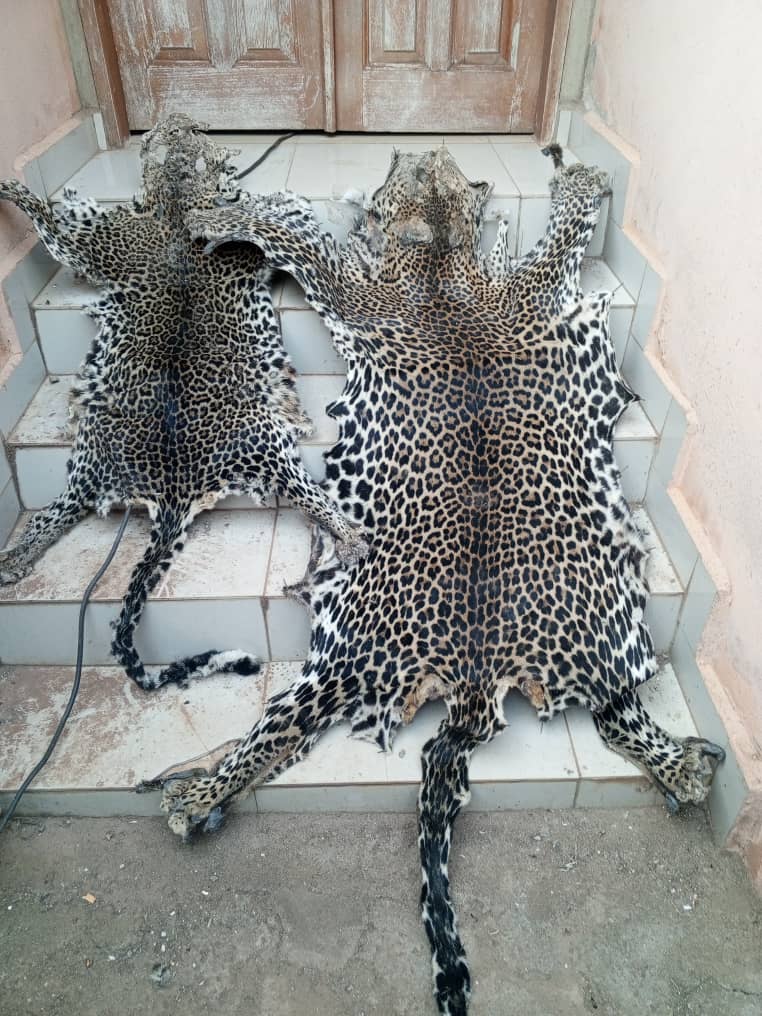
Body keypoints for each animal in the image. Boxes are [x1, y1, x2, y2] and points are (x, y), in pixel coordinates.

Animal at [0, 114, 365, 691]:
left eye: (188, 128)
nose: (174, 119)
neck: (174, 196)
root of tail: (172, 492)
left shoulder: (94, 248)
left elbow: (56, 226)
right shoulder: (102, 243)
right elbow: (53, 220)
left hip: (151, 452)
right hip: (195, 450)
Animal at [144, 143, 725, 1014]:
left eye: (407, 176)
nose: (421, 148)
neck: (443, 265)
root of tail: (478, 686)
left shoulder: (359, 281)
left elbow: (292, 228)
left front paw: (218, 210)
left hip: (341, 658)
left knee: (275, 731)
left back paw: (197, 795)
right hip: (612, 635)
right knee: (622, 714)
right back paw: (685, 768)